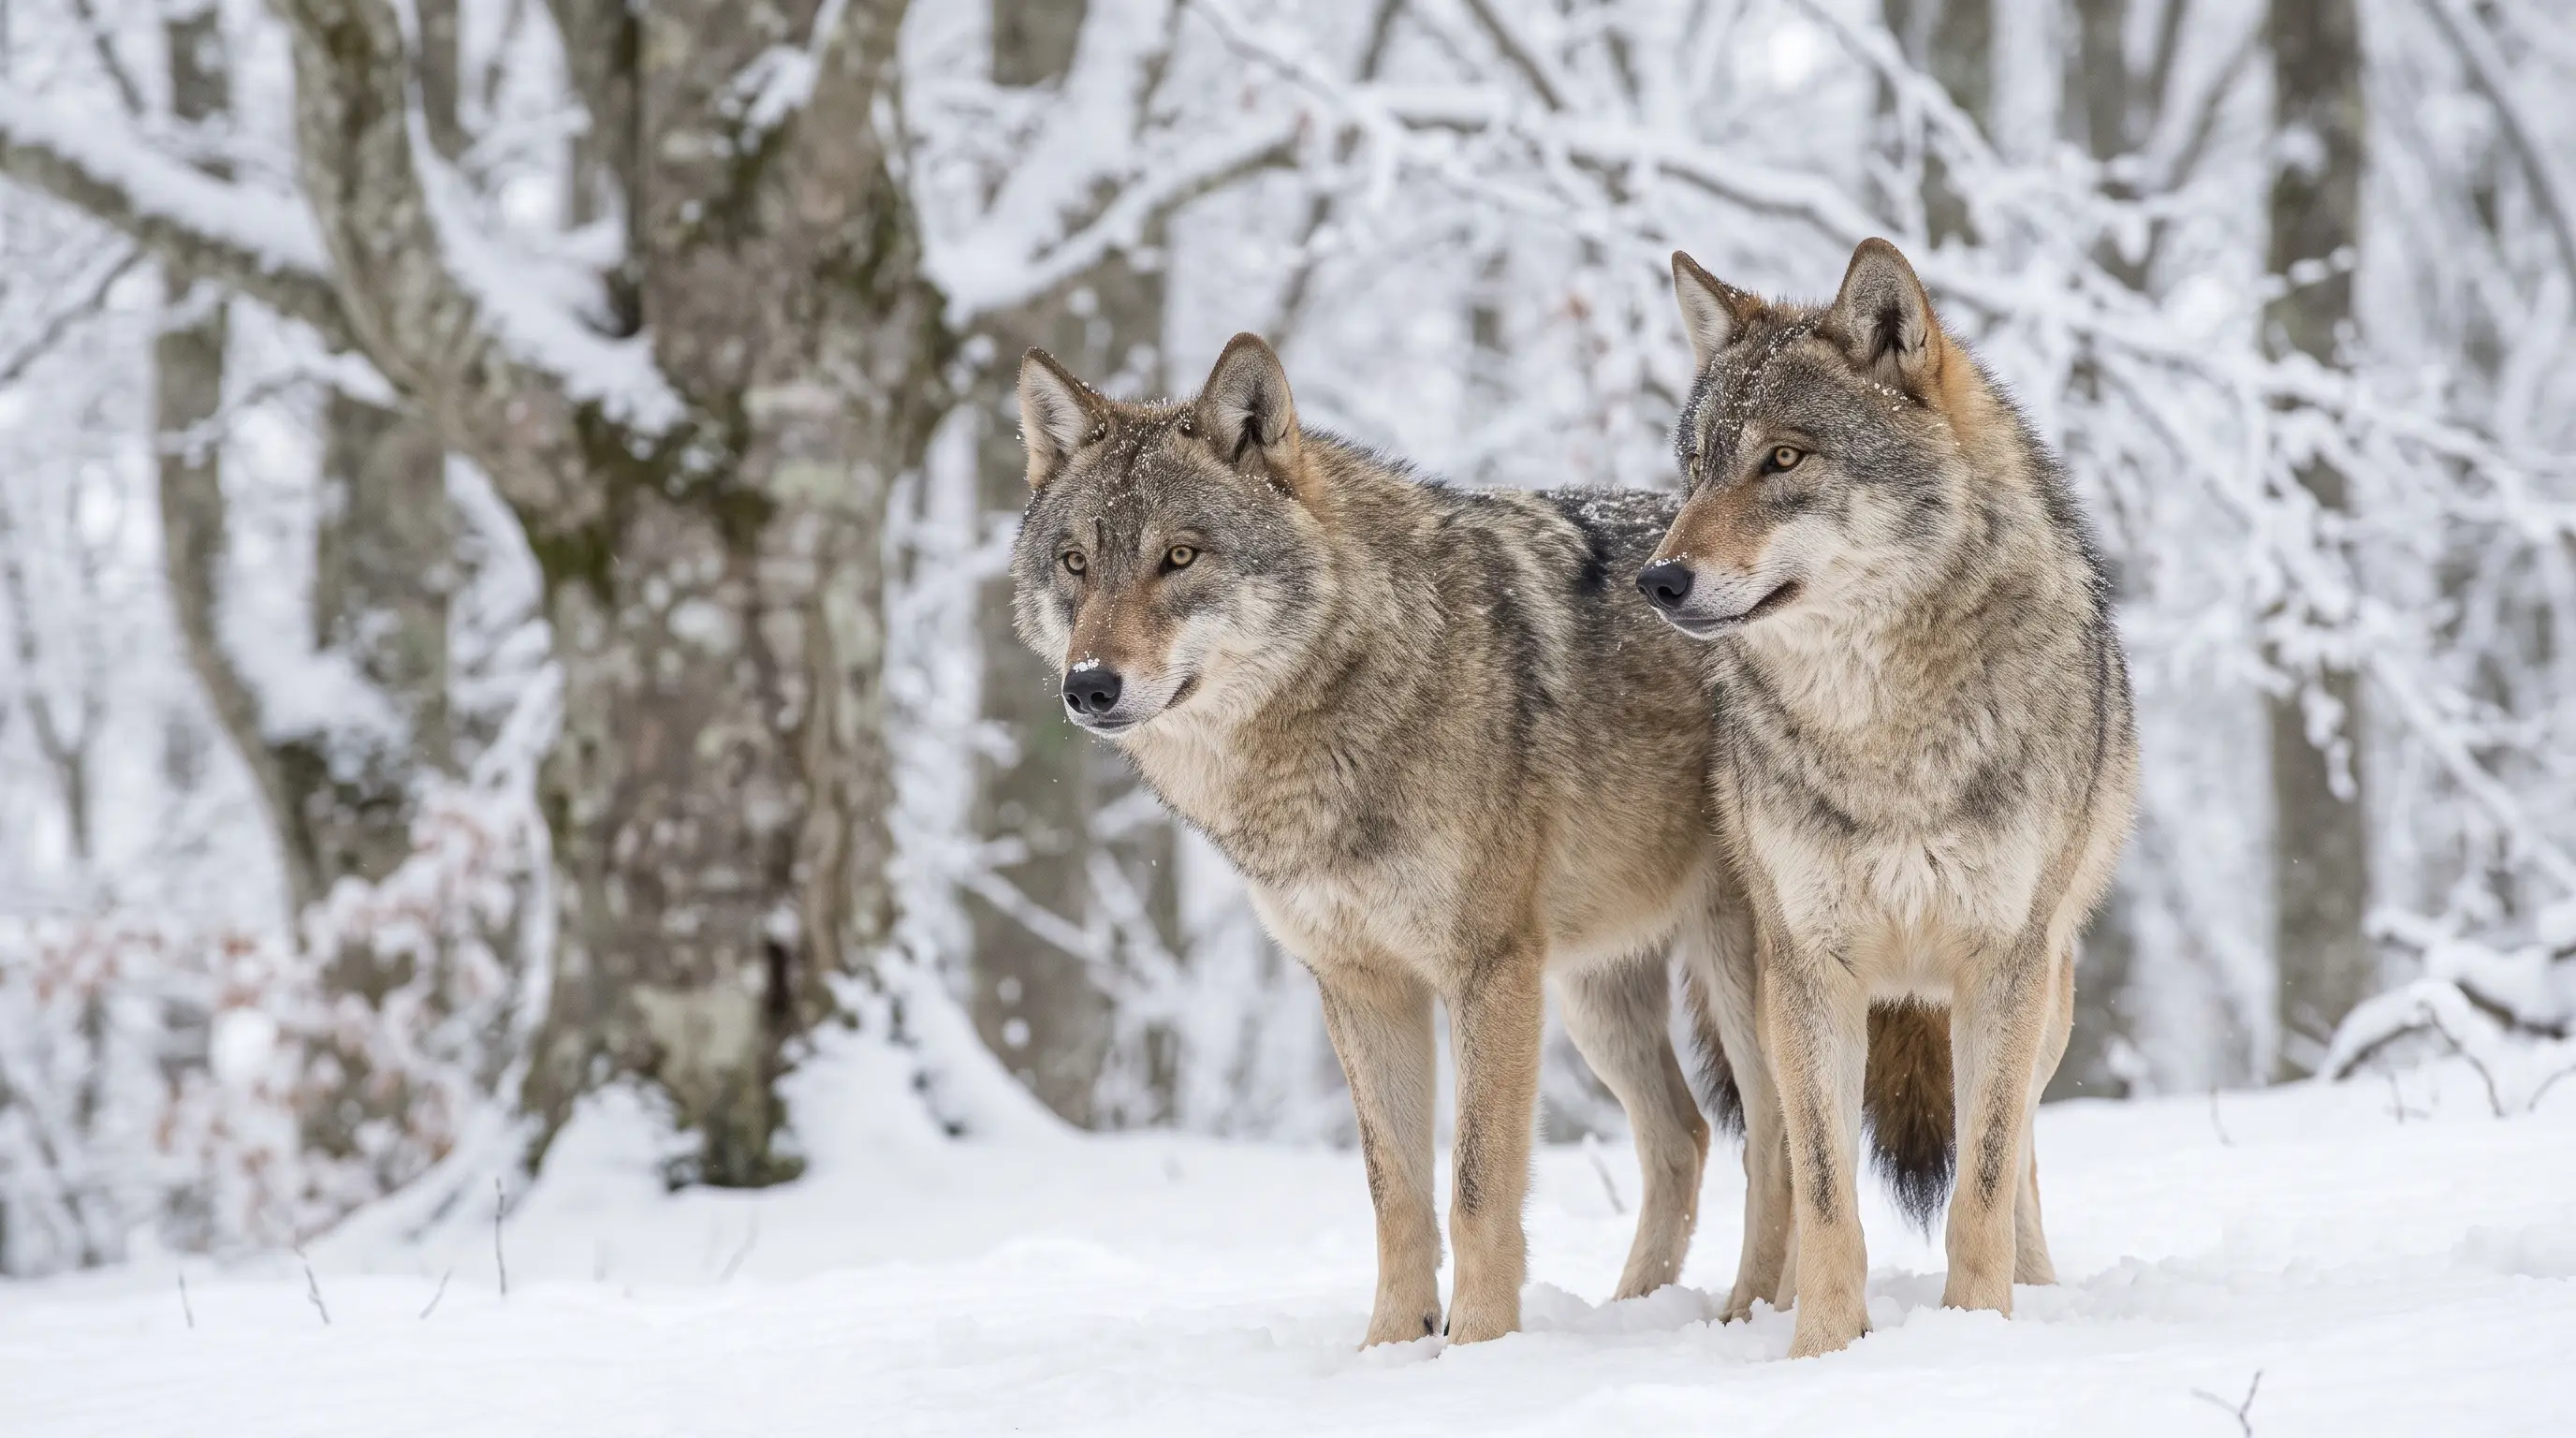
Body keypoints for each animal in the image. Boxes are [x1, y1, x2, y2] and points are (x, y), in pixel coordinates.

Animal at [1007, 333, 1732, 1346]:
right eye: (1075, 562)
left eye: (1179, 557)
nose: (1088, 686)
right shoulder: (1358, 984)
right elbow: (1396, 1193)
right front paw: (1390, 1351)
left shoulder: (1489, 972)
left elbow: (1477, 1192)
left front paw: (1478, 1350)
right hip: (1596, 996)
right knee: (1686, 1137)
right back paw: (1641, 1312)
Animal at [1638, 239, 2139, 1358]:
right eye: (1695, 468)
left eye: (1784, 460)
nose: (1658, 579)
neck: (1883, 732)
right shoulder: (1813, 967)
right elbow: (1828, 1195)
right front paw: (1823, 1352)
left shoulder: (2004, 960)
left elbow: (1984, 1182)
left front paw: (1977, 1334)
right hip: (1759, 999)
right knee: (1777, 1160)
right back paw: (1759, 1309)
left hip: (2045, 1000)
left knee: (2022, 1146)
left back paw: (2037, 1291)